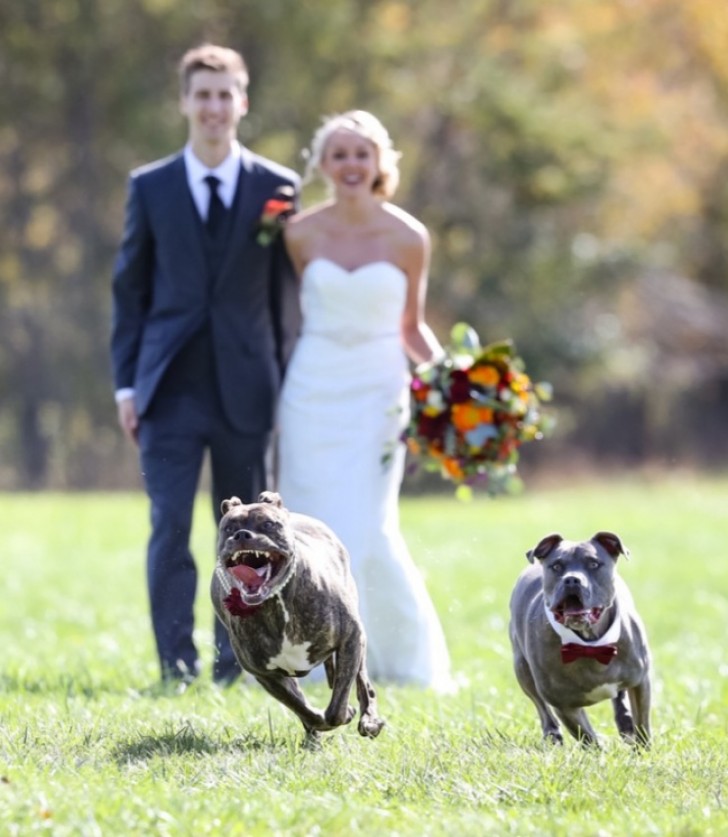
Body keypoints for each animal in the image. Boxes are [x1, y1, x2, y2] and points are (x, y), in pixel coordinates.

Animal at [209, 490, 386, 744]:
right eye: (229, 528)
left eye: (268, 524)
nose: (242, 534)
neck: (276, 602)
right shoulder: (265, 673)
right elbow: (301, 707)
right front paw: (320, 722)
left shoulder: (350, 639)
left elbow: (337, 706)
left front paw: (345, 714)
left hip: (358, 643)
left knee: (363, 682)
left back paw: (369, 721)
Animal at [506, 528, 656, 744]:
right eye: (556, 566)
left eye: (593, 564)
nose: (571, 579)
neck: (590, 644)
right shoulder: (563, 704)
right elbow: (587, 737)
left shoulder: (640, 683)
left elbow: (642, 724)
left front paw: (642, 749)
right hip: (522, 671)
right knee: (542, 709)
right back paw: (552, 736)